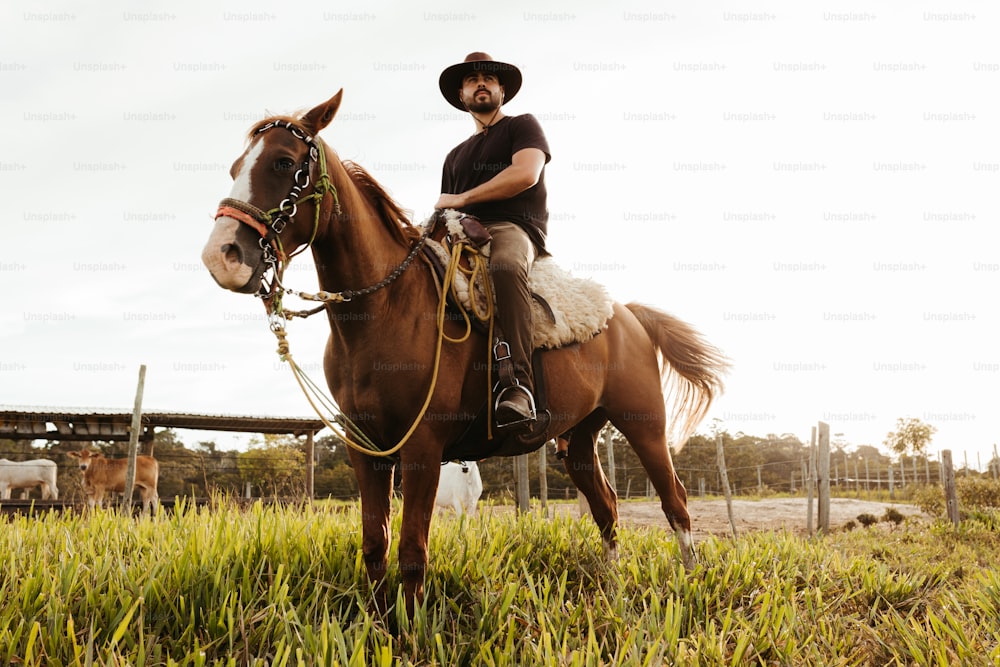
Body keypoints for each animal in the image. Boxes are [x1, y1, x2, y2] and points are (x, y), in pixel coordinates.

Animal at [201, 90, 728, 616]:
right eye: (234, 167)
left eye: (284, 162)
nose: (221, 257)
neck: (386, 309)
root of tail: (625, 313)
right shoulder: (364, 447)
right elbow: (374, 545)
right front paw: (379, 624)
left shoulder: (422, 446)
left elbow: (412, 551)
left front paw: (410, 628)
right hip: (578, 438)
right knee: (608, 508)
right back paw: (613, 588)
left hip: (645, 424)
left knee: (676, 502)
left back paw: (690, 579)